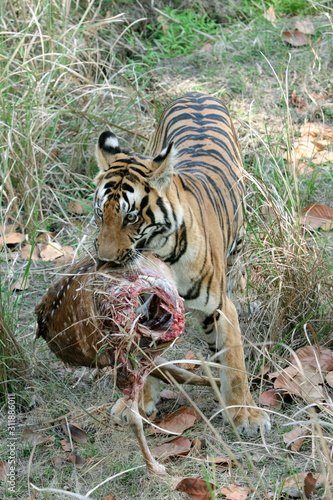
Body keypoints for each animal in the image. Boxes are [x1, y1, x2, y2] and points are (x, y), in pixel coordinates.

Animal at [92, 92, 270, 436]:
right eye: (99, 213)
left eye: (130, 217)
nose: (105, 260)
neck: (159, 255)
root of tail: (197, 93)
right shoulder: (144, 312)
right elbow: (141, 361)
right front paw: (135, 405)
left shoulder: (220, 307)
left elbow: (235, 365)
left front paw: (245, 415)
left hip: (240, 234)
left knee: (239, 266)